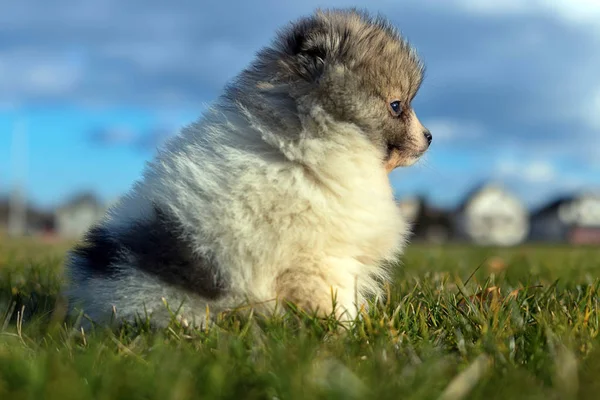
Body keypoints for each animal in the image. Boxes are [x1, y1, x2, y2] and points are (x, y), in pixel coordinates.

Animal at [64, 8, 432, 328]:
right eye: (396, 106)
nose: (429, 137)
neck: (309, 141)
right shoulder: (318, 258)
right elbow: (335, 299)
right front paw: (348, 331)